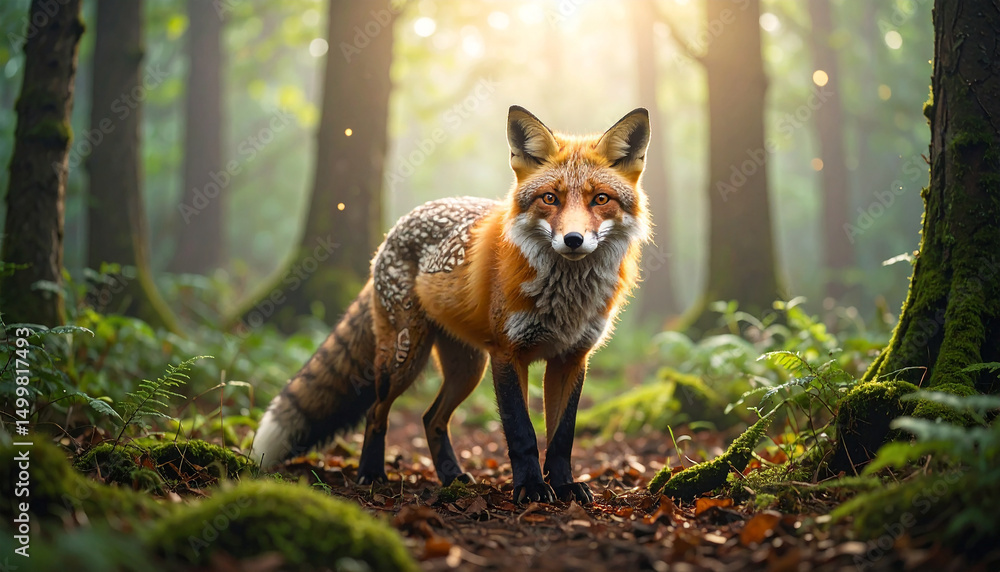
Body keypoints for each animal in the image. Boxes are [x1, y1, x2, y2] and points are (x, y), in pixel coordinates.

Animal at [252, 106, 651, 504]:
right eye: (550, 198)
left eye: (600, 199)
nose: (573, 239)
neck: (565, 300)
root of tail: (393, 230)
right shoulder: (507, 354)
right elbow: (521, 432)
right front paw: (531, 488)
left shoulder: (572, 359)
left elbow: (562, 436)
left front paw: (565, 486)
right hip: (405, 358)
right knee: (376, 411)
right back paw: (372, 473)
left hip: (466, 369)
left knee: (431, 418)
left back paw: (451, 476)